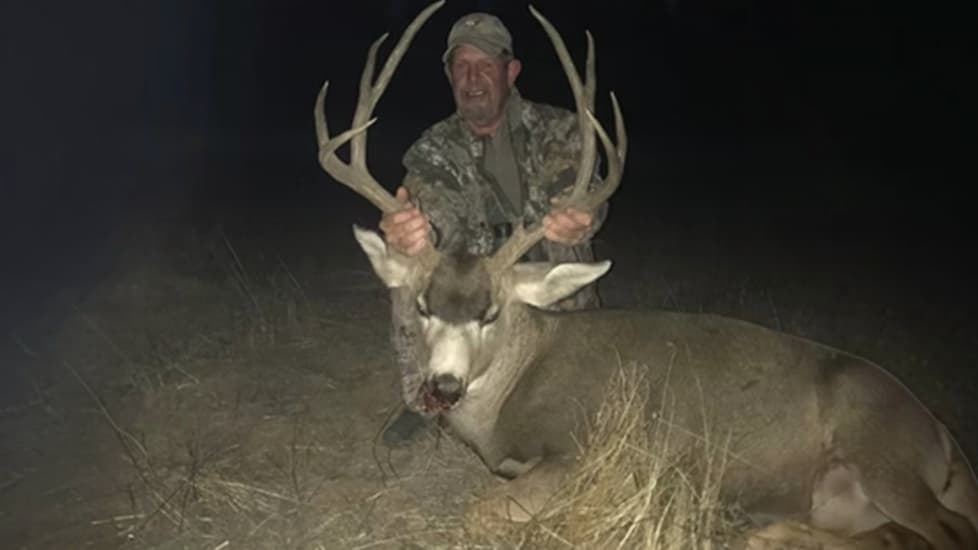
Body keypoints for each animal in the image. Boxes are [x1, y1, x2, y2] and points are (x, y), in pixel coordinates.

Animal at [313, 1, 978, 548]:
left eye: (491, 312)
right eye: (423, 306)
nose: (443, 386)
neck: (513, 387)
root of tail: (943, 438)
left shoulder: (586, 451)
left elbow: (481, 512)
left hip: (884, 454)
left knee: (949, 531)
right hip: (848, 498)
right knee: (892, 535)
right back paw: (764, 533)